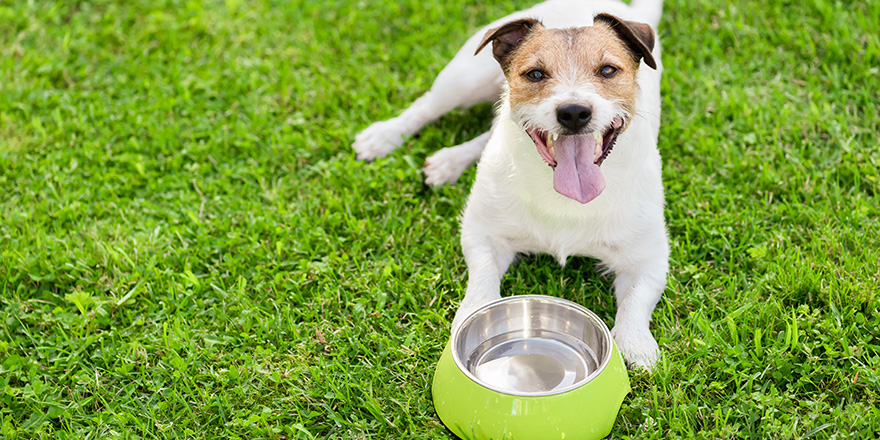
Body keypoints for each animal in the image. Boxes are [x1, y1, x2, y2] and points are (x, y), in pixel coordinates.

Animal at [354, 0, 672, 372]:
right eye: (535, 74)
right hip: (463, 80)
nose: (574, 112)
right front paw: (472, 317)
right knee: (427, 107)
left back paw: (449, 161)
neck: (563, 196)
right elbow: (482, 282)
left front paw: (635, 345)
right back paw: (385, 137)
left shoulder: (648, 260)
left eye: (608, 70)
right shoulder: (483, 235)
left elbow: (635, 303)